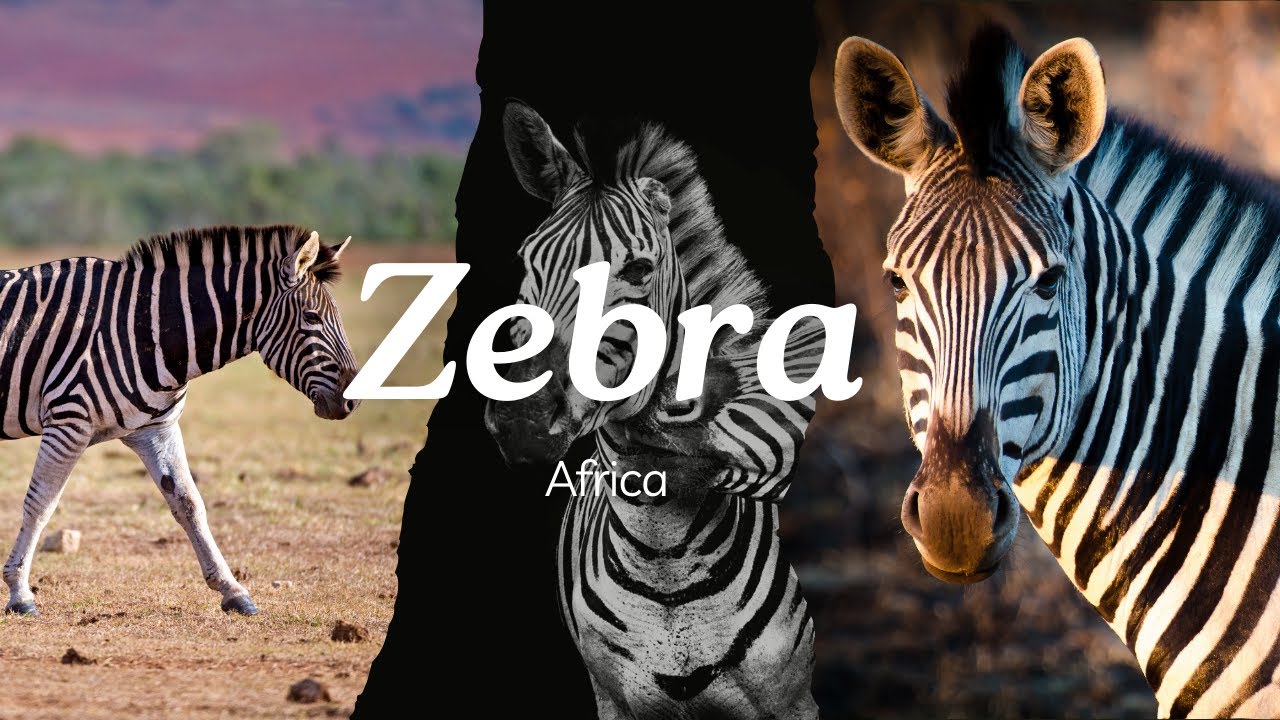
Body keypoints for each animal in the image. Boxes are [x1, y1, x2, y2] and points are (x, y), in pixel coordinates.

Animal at [1, 225, 360, 617]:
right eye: (312, 318)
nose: (354, 399)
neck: (145, 328)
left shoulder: (155, 428)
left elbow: (189, 504)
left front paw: (233, 590)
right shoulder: (69, 421)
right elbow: (40, 505)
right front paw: (20, 593)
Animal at [485, 100, 821, 717]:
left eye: (639, 271)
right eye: (525, 261)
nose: (522, 420)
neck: (665, 557)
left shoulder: (792, 700)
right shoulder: (615, 699)